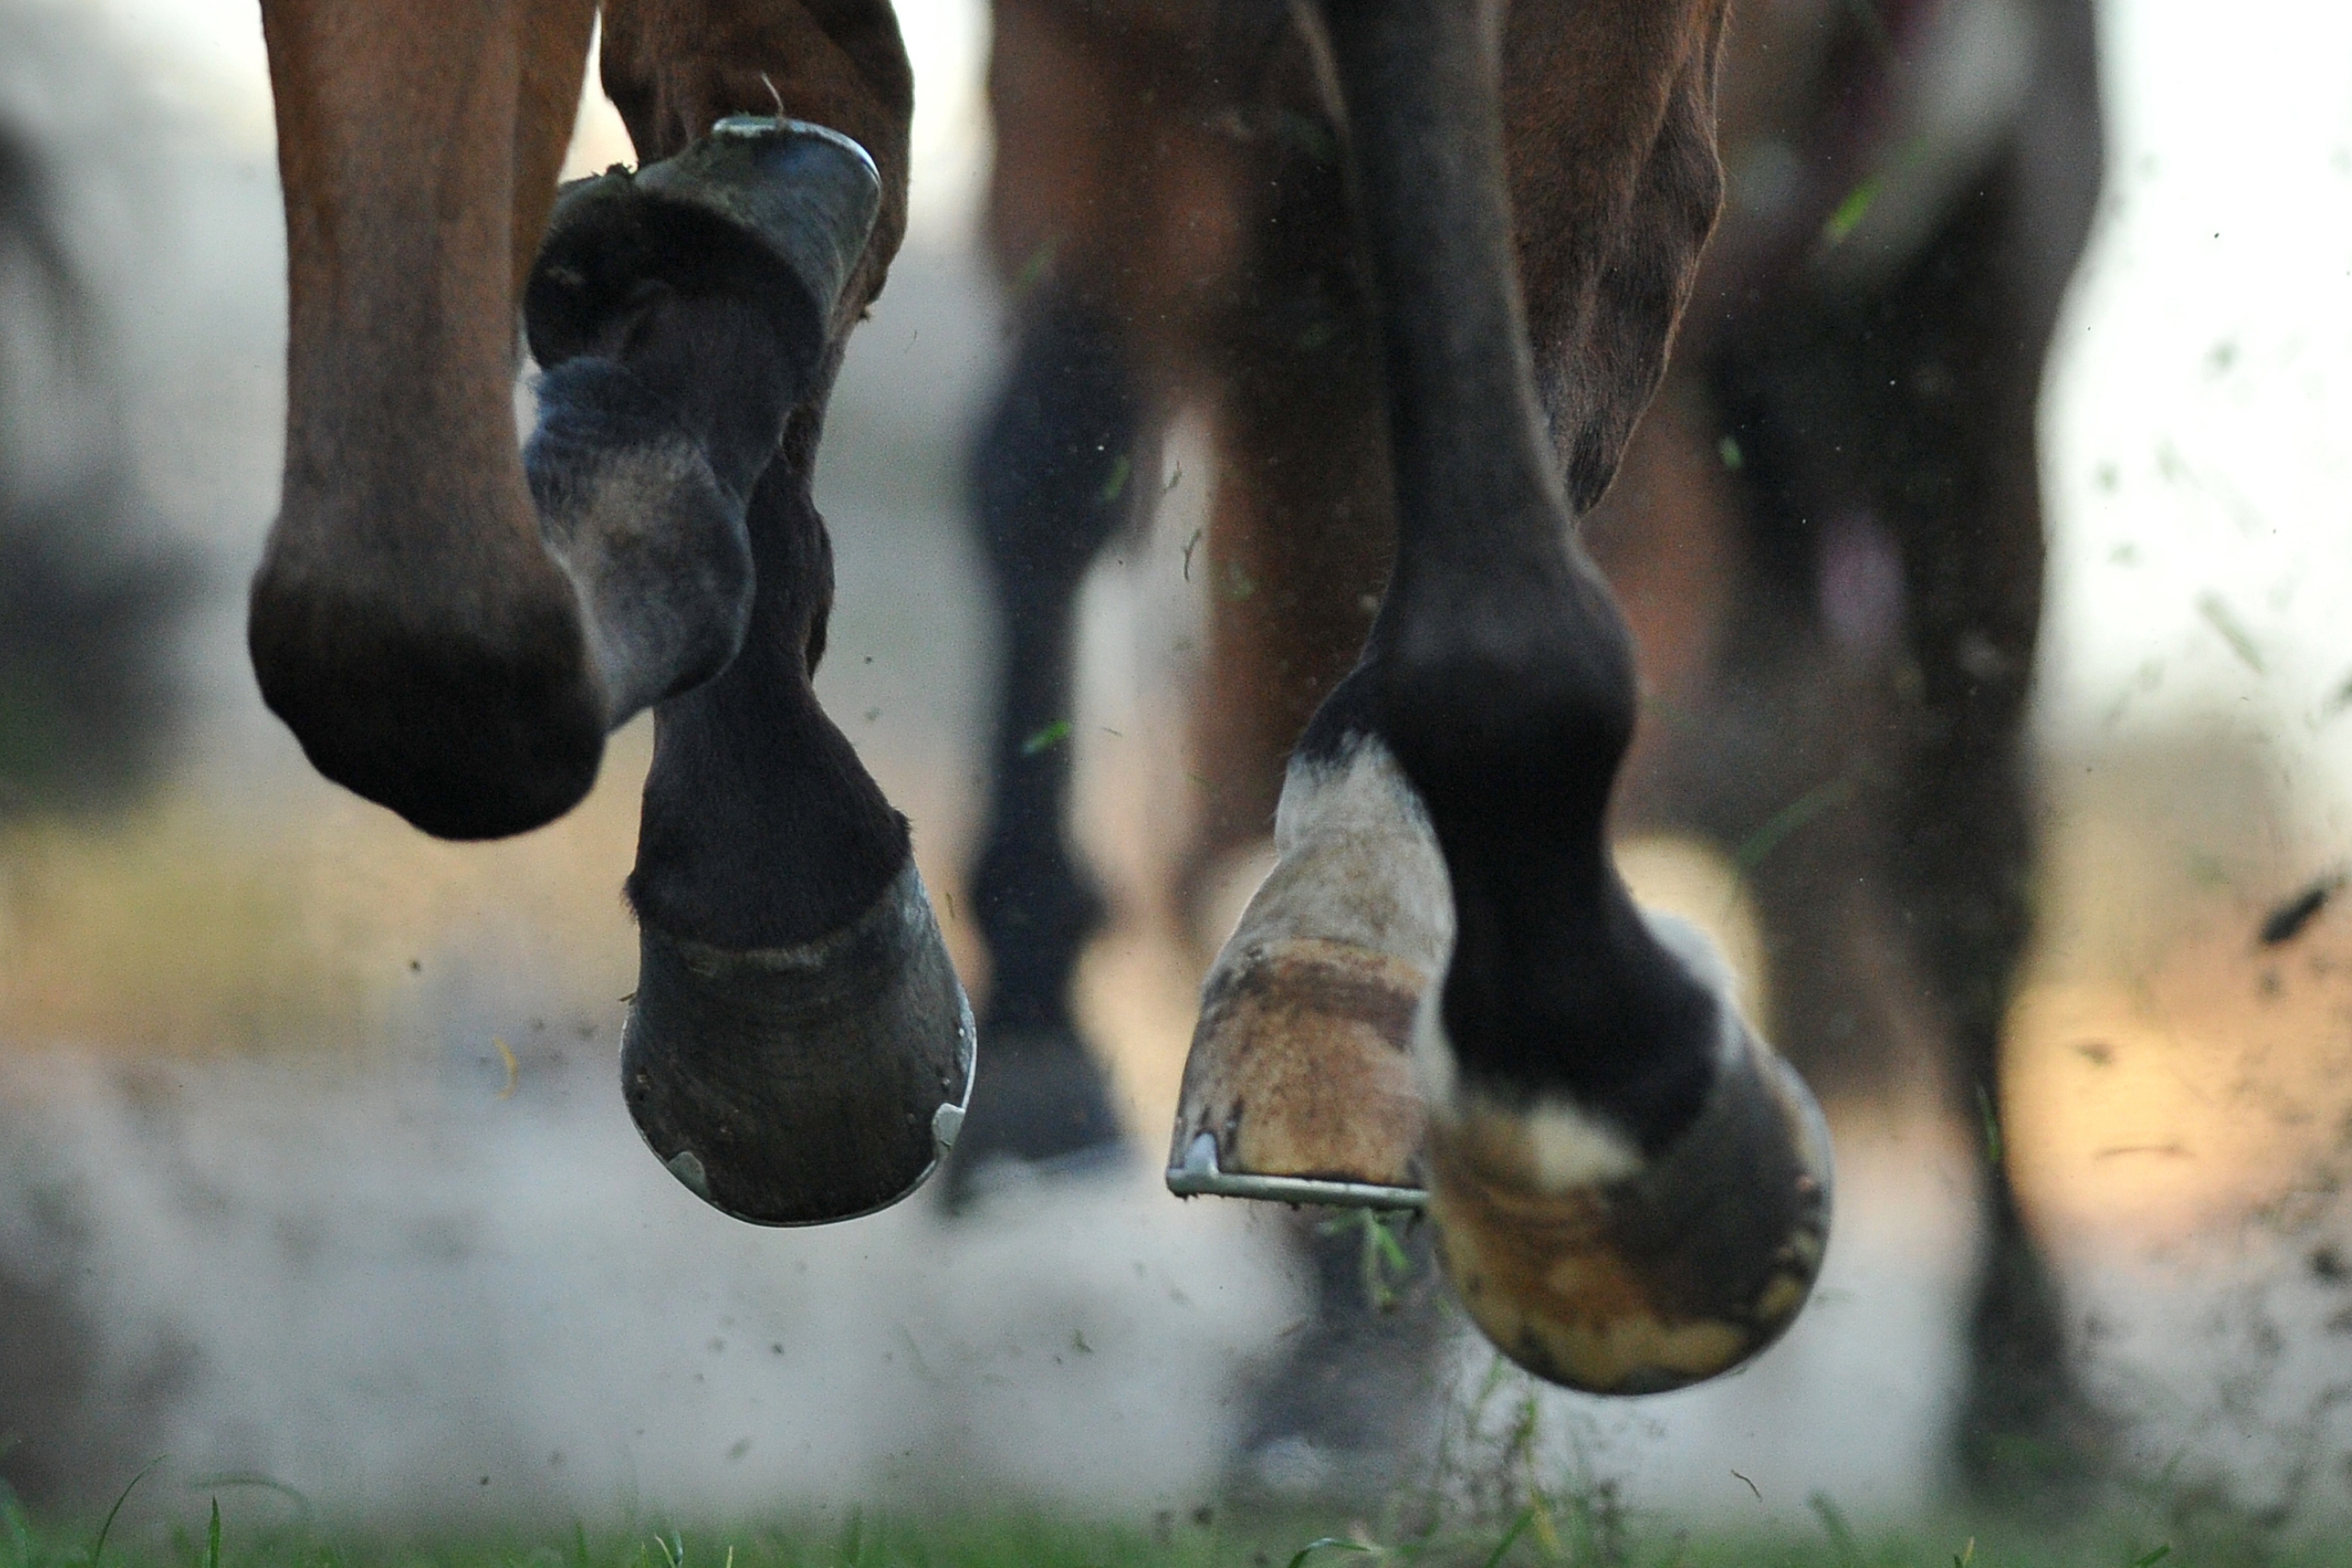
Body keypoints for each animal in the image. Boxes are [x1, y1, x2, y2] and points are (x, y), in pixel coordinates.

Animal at [947, 0, 2104, 1495]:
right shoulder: (1091, 74)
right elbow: (1042, 457)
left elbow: (1530, 341)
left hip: (1966, 337)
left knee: (1963, 864)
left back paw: (2025, 1396)